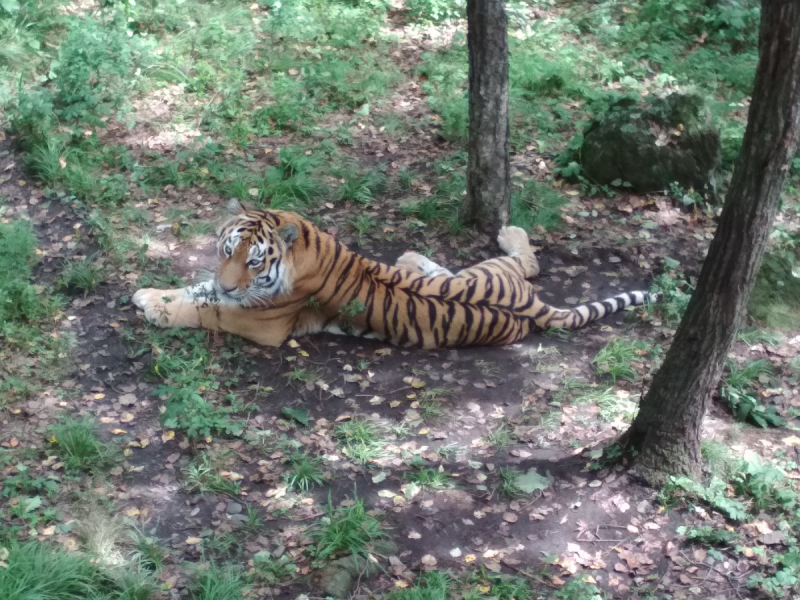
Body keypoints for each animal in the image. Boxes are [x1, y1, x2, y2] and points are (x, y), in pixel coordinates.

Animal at [133, 203, 664, 352]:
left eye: (256, 262)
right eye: (228, 251)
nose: (231, 283)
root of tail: (534, 308)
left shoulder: (261, 321)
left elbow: (205, 308)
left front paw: (154, 306)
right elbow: (196, 290)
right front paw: (151, 293)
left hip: (499, 273)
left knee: (527, 261)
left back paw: (507, 231)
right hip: (481, 274)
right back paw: (411, 258)